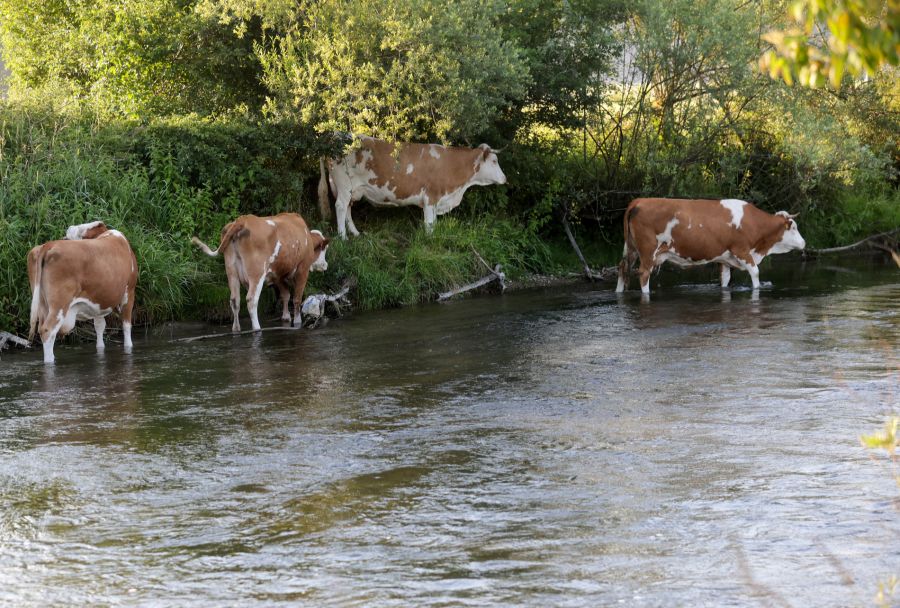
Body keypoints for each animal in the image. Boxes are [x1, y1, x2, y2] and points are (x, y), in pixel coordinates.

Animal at [28, 221, 138, 363]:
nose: (66, 234)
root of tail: (49, 245)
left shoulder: (98, 300)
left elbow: (99, 326)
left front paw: (100, 349)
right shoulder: (129, 292)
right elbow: (126, 325)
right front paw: (129, 347)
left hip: (42, 303)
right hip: (59, 304)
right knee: (48, 330)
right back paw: (50, 360)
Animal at [191, 212, 330, 332]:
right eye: (324, 249)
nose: (325, 265)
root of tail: (242, 220)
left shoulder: (277, 274)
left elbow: (285, 295)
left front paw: (285, 317)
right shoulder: (303, 269)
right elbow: (296, 298)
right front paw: (297, 322)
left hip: (231, 271)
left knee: (235, 300)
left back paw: (236, 329)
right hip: (256, 273)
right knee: (251, 299)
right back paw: (257, 328)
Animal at [318, 136, 507, 238]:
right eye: (494, 161)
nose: (505, 179)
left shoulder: (436, 200)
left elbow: (434, 223)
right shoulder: (431, 196)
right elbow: (429, 224)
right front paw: (429, 241)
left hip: (352, 190)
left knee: (348, 208)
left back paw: (355, 233)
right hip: (344, 185)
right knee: (340, 207)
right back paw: (343, 237)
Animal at [615, 198, 806, 295]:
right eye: (794, 228)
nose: (804, 243)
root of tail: (639, 201)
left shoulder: (725, 259)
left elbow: (725, 280)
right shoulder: (742, 250)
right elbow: (756, 273)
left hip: (631, 248)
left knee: (622, 268)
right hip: (648, 251)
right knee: (643, 274)